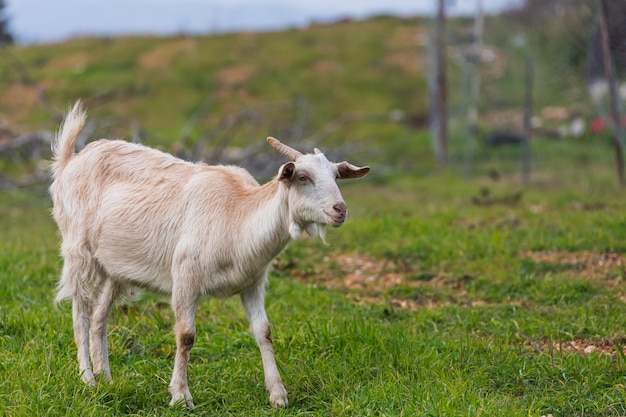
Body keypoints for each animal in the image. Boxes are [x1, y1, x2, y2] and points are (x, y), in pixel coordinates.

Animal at [50, 101, 370, 410]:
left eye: (336, 176)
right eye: (303, 177)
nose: (340, 210)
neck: (237, 215)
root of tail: (69, 162)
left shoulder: (253, 283)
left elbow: (264, 332)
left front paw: (278, 395)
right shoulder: (185, 278)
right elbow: (186, 335)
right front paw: (181, 396)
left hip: (114, 268)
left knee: (99, 318)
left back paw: (106, 378)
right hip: (80, 252)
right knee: (80, 314)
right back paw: (88, 379)